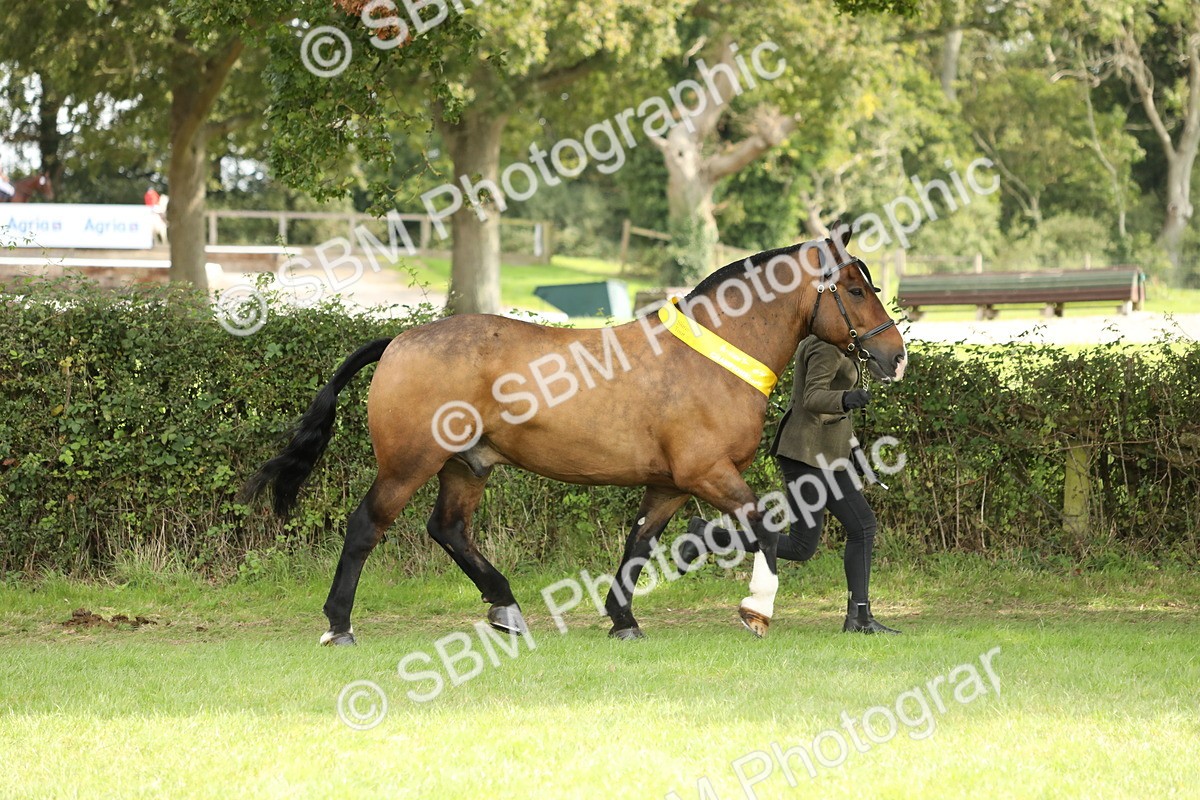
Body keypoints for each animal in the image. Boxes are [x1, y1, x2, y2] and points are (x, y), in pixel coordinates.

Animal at [244, 224, 908, 645]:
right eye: (854, 290)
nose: (896, 357)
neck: (714, 356)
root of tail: (401, 340)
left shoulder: (669, 484)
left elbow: (638, 544)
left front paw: (624, 619)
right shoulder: (708, 473)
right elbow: (765, 530)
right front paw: (756, 610)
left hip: (467, 465)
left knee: (449, 530)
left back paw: (506, 607)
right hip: (409, 463)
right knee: (367, 527)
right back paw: (339, 624)